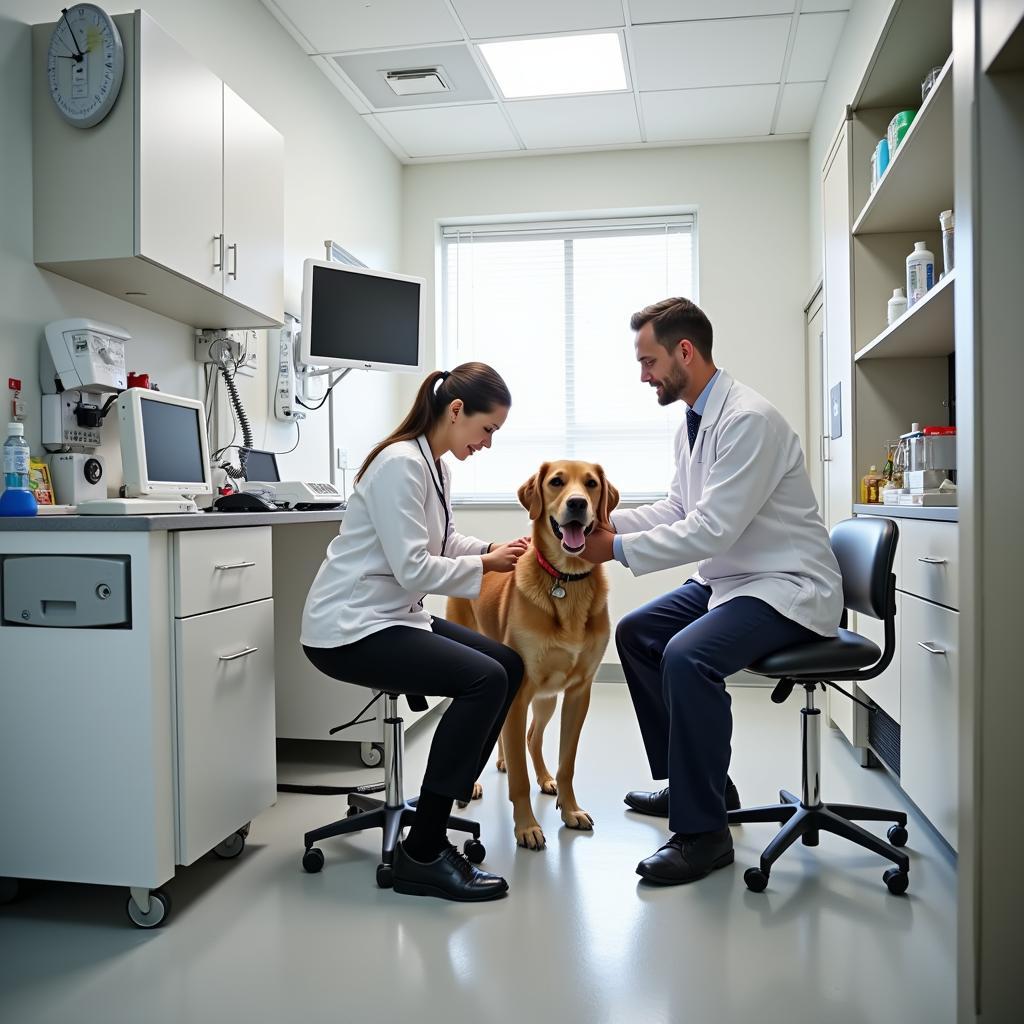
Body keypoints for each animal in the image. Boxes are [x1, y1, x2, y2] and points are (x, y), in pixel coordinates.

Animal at [446, 462, 614, 847]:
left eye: (591, 484)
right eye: (557, 482)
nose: (578, 504)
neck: (566, 580)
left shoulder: (577, 693)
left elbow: (567, 763)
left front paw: (570, 809)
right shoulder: (520, 692)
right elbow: (518, 781)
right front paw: (526, 826)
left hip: (546, 699)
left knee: (531, 739)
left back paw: (542, 776)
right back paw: (474, 783)